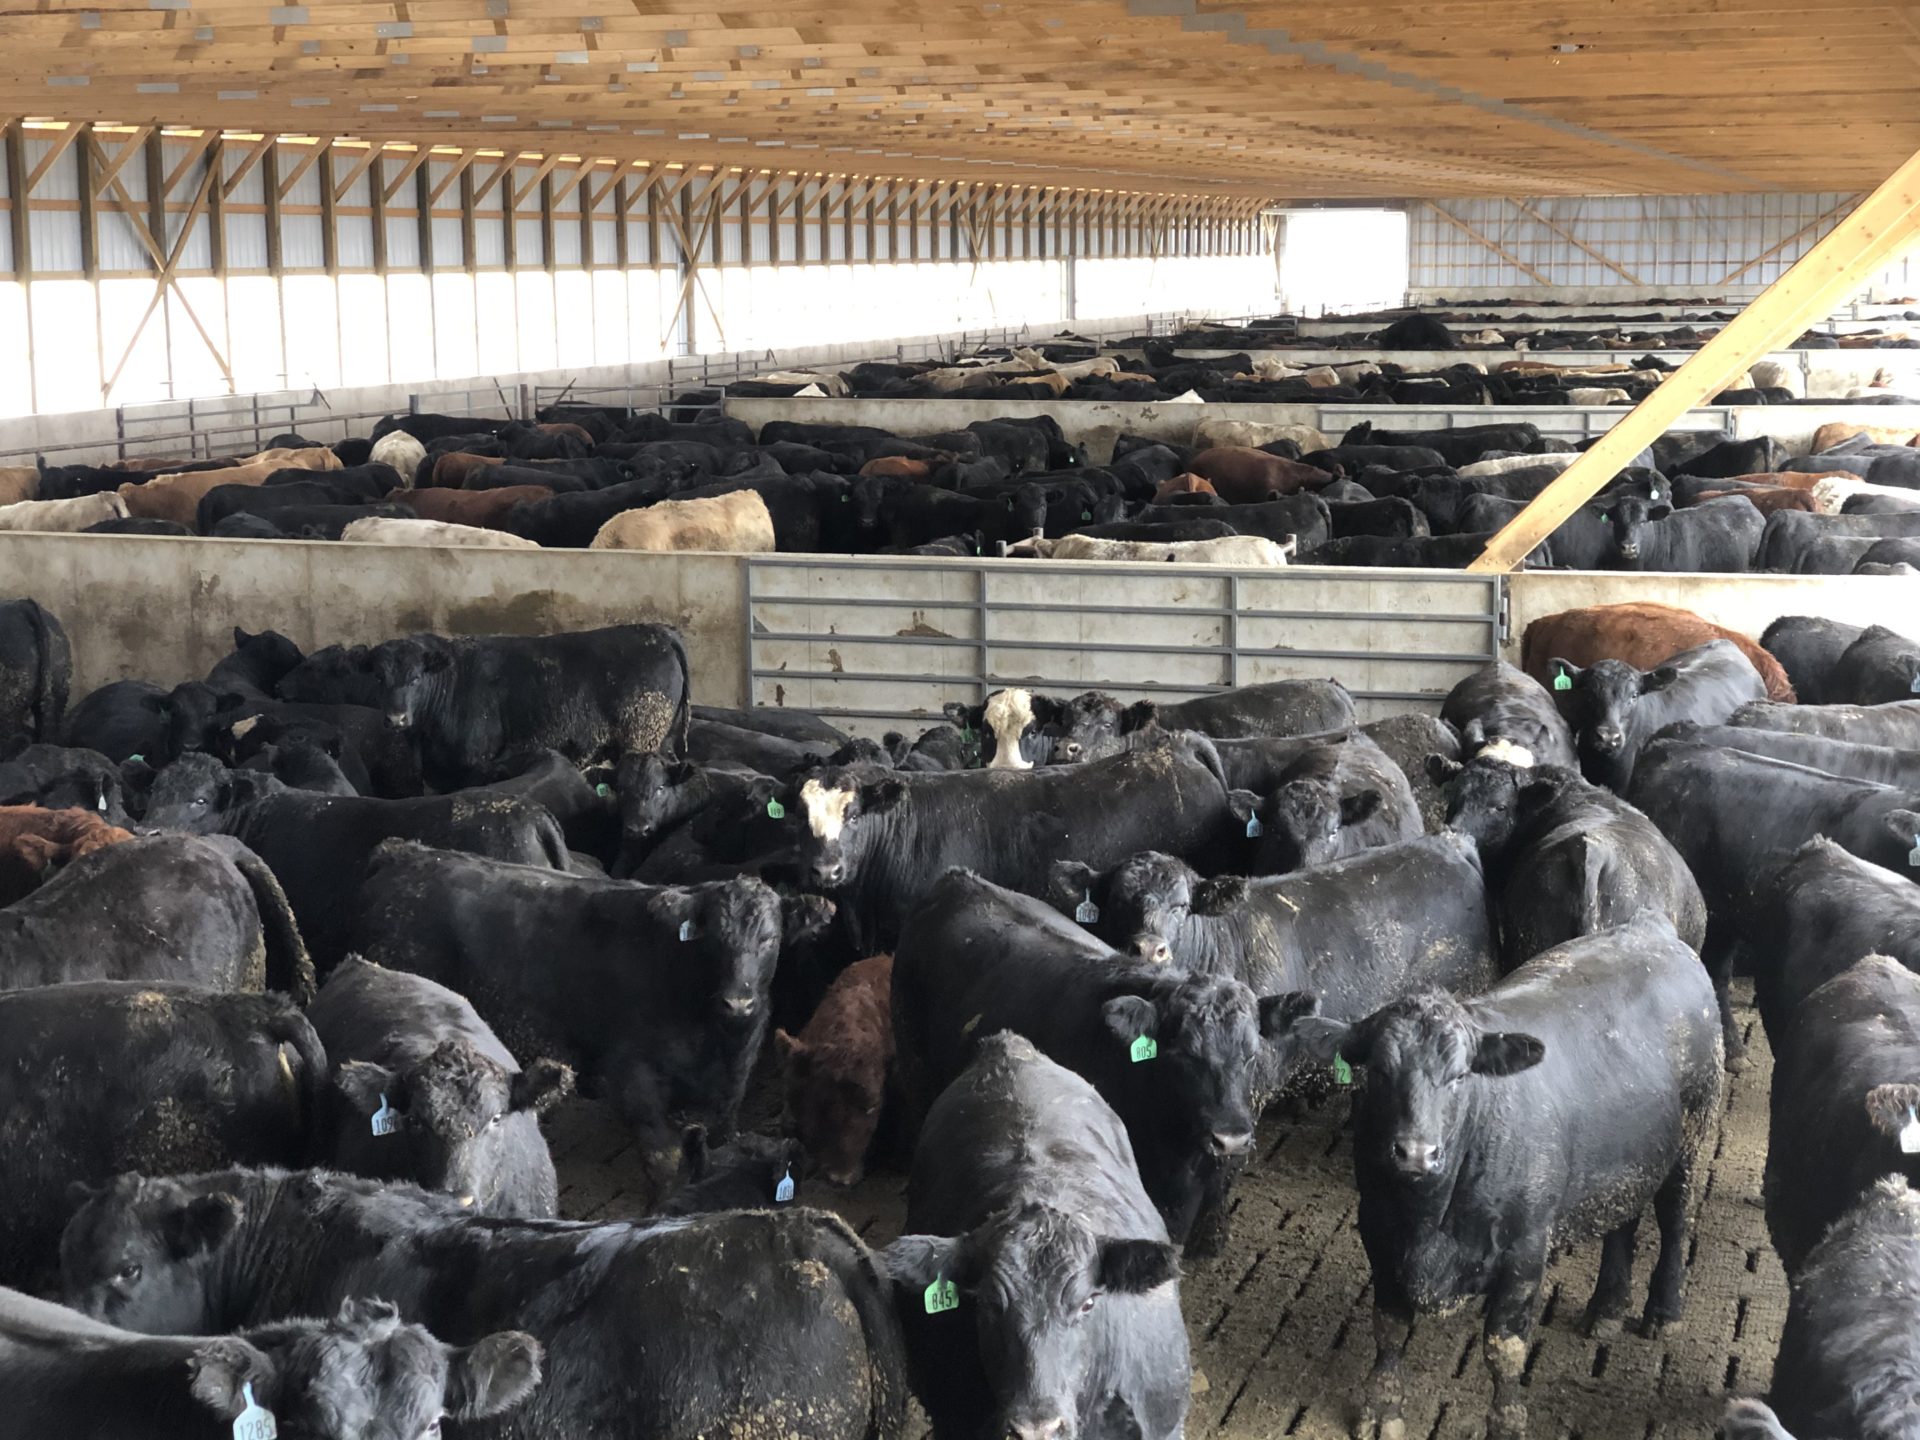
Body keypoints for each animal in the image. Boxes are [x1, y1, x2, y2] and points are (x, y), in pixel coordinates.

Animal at [353, 841, 832, 1158]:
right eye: (712, 940)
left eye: (770, 938)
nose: (738, 1003)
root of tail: (404, 853)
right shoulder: (631, 1078)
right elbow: (665, 1155)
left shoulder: (734, 1088)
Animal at [368, 624, 692, 786]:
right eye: (379, 677)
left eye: (416, 678)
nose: (396, 718)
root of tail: (658, 632)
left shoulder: (476, 763)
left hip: (643, 735)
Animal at [1277, 912, 1721, 1440]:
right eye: (1379, 1072)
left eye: (1460, 1075)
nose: (1416, 1153)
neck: (1429, 1219)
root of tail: (1650, 928)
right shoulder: (1377, 1231)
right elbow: (1388, 1327)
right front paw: (1382, 1405)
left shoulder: (1525, 1251)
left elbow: (1503, 1349)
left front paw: (1507, 1421)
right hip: (1627, 1156)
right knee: (1622, 1220)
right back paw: (1607, 1307)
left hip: (1693, 1132)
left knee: (1676, 1220)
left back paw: (1664, 1311)